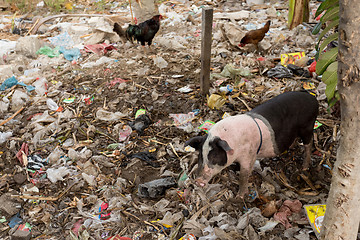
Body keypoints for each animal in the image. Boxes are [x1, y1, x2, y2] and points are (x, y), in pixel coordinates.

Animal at [186, 91, 318, 198]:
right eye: (200, 156)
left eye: (214, 156)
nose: (197, 180)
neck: (234, 146)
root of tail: (313, 99)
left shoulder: (249, 155)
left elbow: (243, 176)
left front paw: (239, 197)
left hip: (307, 126)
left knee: (309, 143)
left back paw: (304, 168)